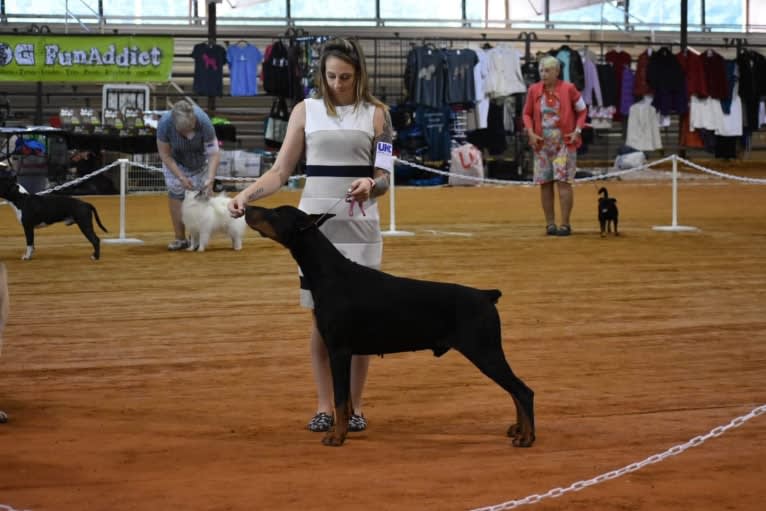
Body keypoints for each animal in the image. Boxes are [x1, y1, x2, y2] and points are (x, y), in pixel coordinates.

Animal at [244, 204, 536, 448]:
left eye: (275, 213)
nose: (246, 207)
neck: (328, 273)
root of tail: (487, 295)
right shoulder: (341, 351)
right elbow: (344, 400)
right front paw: (342, 431)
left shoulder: (339, 350)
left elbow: (341, 399)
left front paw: (337, 436)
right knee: (514, 390)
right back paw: (517, 430)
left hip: (484, 350)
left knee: (523, 390)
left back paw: (527, 437)